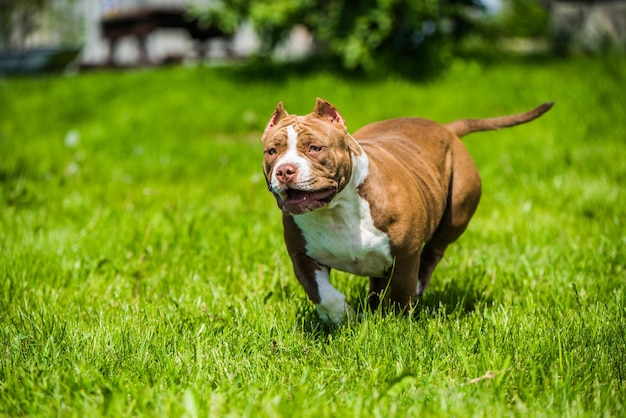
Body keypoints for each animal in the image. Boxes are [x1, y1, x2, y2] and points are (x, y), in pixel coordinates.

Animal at [260, 99, 552, 326]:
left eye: (315, 148)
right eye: (272, 151)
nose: (285, 171)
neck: (337, 209)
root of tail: (447, 129)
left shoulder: (406, 254)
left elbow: (400, 293)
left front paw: (394, 323)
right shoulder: (302, 256)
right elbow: (322, 293)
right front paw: (341, 317)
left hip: (456, 213)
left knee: (433, 252)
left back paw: (417, 287)